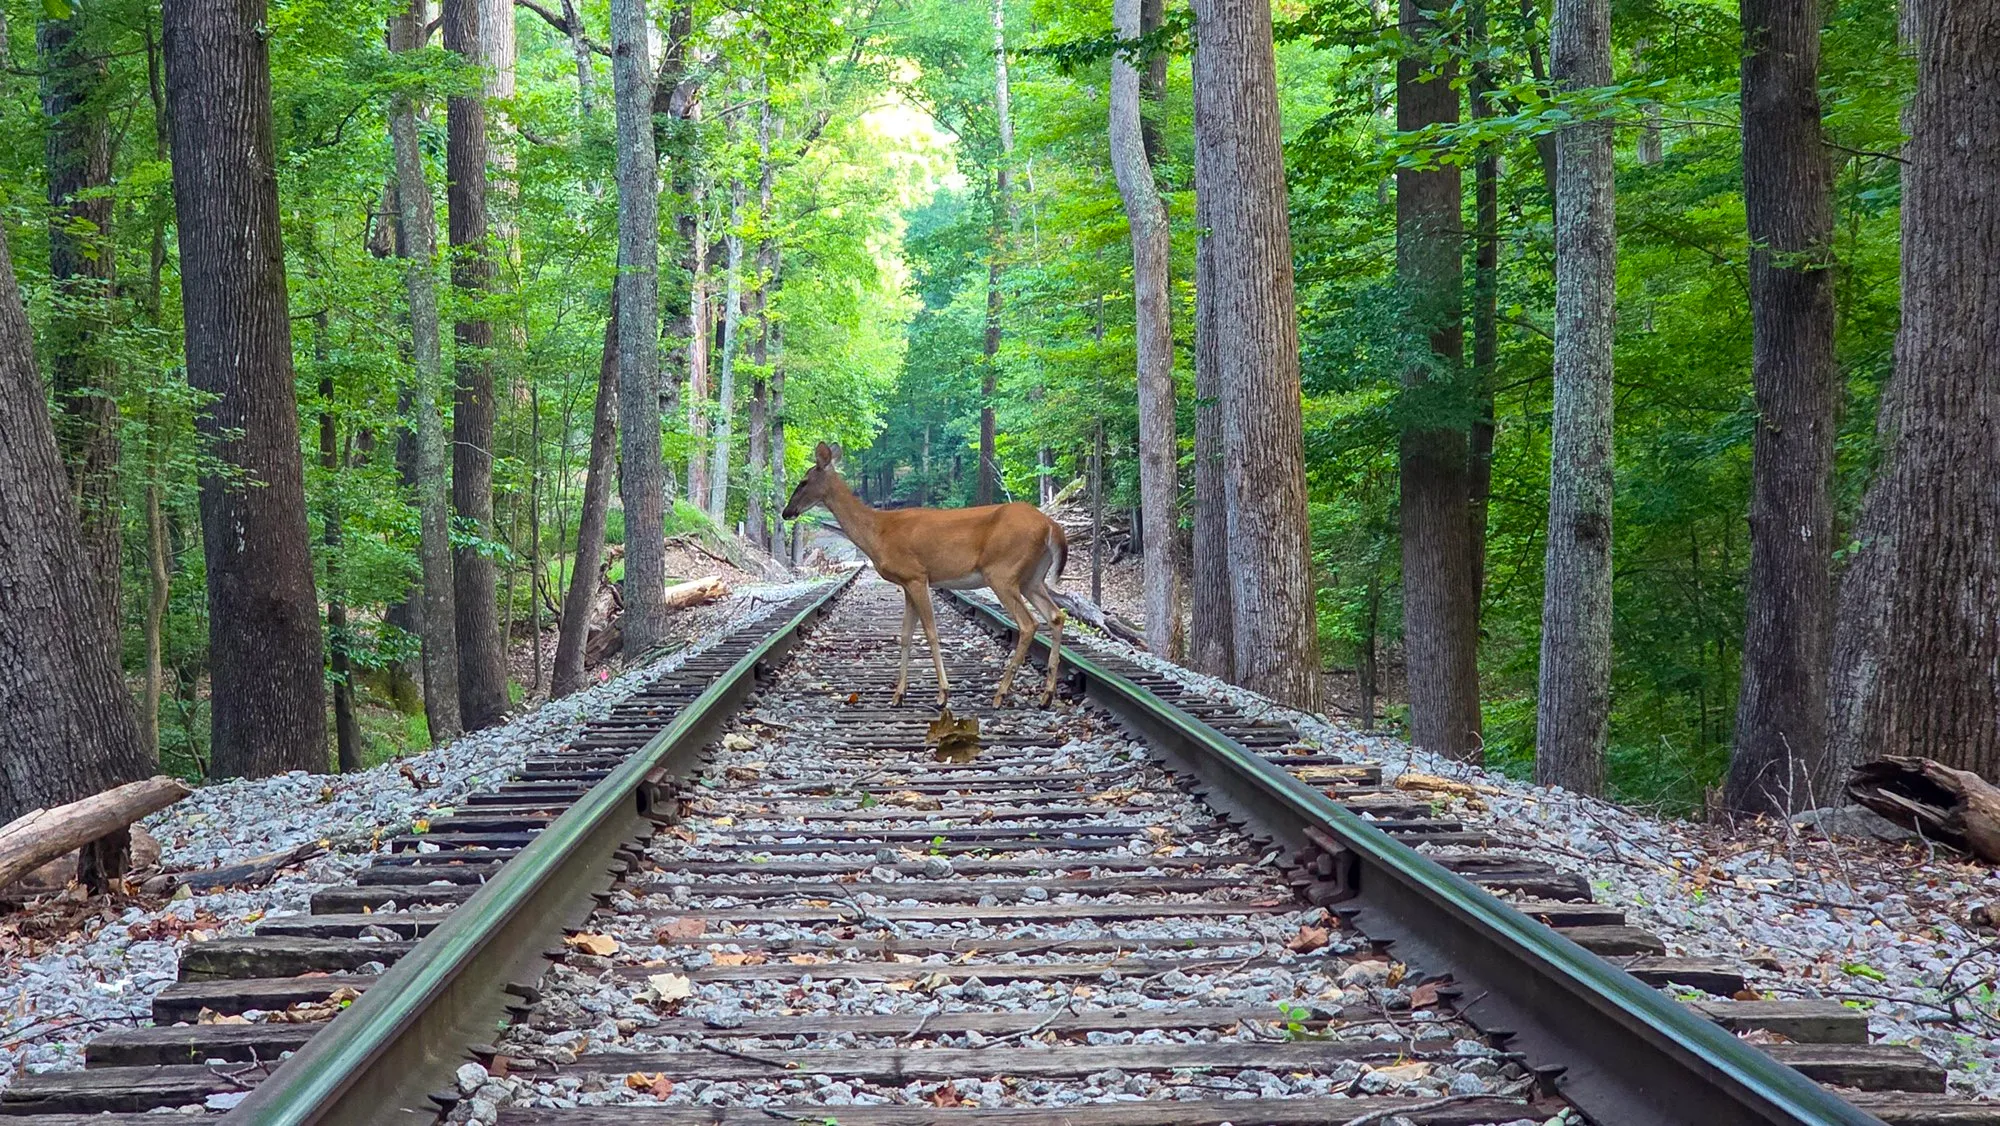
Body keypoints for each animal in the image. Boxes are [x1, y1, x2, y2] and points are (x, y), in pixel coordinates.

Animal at [781, 442, 1068, 709]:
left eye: (803, 481)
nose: (786, 512)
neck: (878, 532)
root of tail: (1050, 525)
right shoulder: (907, 583)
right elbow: (905, 636)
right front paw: (898, 695)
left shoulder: (917, 576)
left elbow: (930, 632)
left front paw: (943, 694)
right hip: (1032, 577)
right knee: (1056, 616)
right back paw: (1046, 696)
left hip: (1002, 572)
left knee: (1029, 624)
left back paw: (1001, 694)